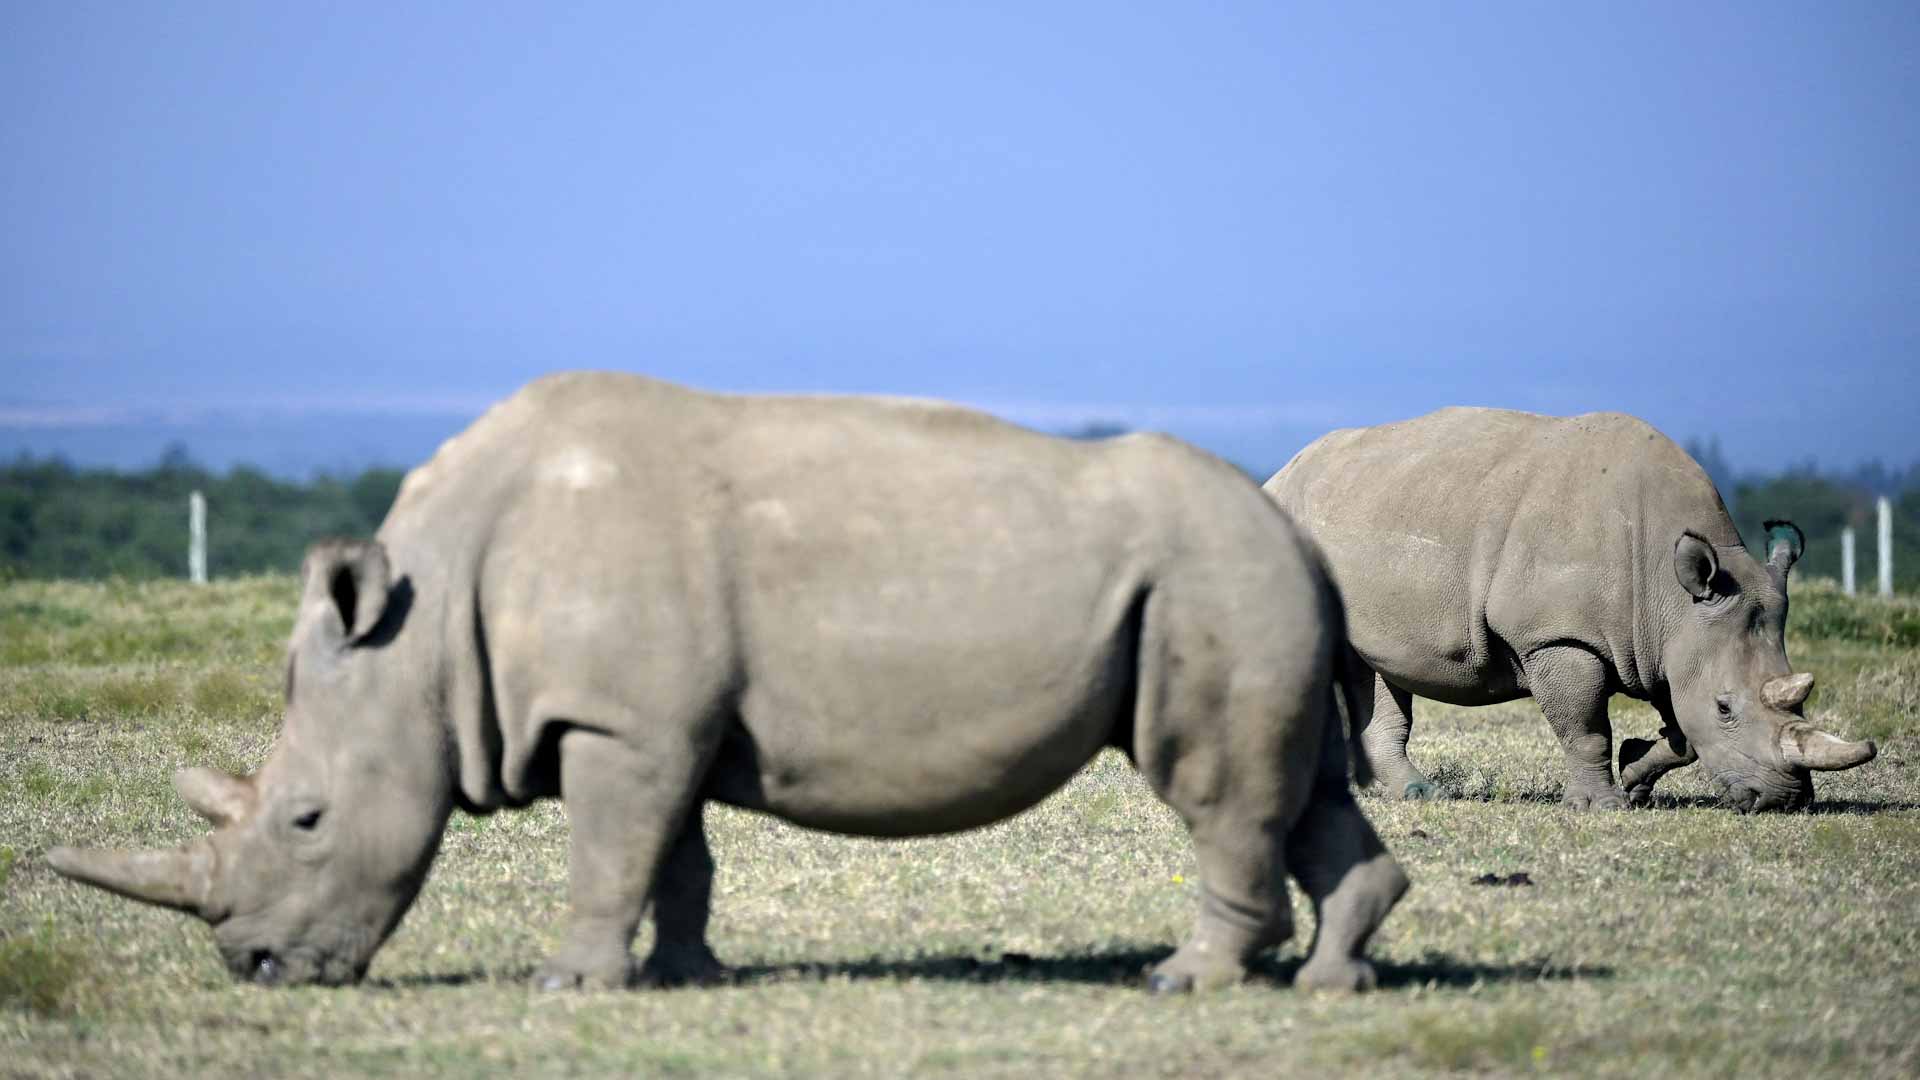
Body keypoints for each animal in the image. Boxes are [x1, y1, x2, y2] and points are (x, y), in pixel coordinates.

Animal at [49, 372, 1407, 993]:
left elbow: (611, 854)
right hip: (1245, 582)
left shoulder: (619, 724)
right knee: (1298, 790)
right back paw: (1332, 980)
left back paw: (1185, 982)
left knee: (1213, 786)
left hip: (1214, 580)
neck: (418, 639)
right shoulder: (657, 723)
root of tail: (1299, 540)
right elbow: (676, 856)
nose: (255, 968)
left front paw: (569, 986)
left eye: (306, 819)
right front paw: (684, 976)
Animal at [1264, 407, 1876, 812]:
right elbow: (1584, 726)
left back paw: (1414, 794)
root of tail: (1277, 474)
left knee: (1375, 669)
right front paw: (1602, 806)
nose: (1783, 800)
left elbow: (1681, 730)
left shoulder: (1670, 637)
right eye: (1726, 708)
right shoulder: (1556, 635)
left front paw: (1635, 773)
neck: (1669, 589)